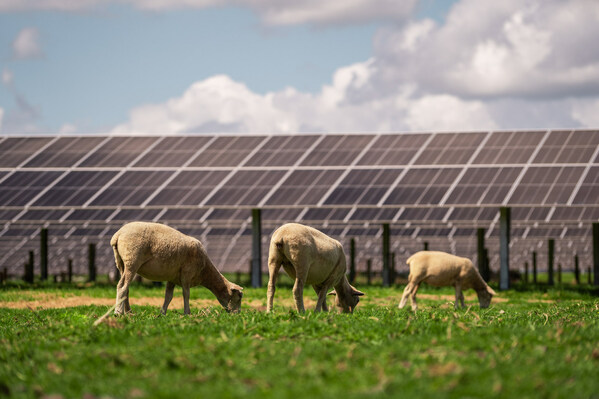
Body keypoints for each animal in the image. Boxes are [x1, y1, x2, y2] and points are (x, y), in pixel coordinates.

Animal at [110, 222, 244, 316]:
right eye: (239, 296)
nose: (237, 314)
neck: (204, 271)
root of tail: (118, 235)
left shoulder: (172, 278)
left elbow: (168, 296)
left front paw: (162, 314)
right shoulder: (187, 274)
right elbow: (186, 294)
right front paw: (187, 313)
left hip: (121, 263)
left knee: (126, 288)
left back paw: (129, 312)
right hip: (132, 261)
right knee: (122, 286)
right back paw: (118, 312)